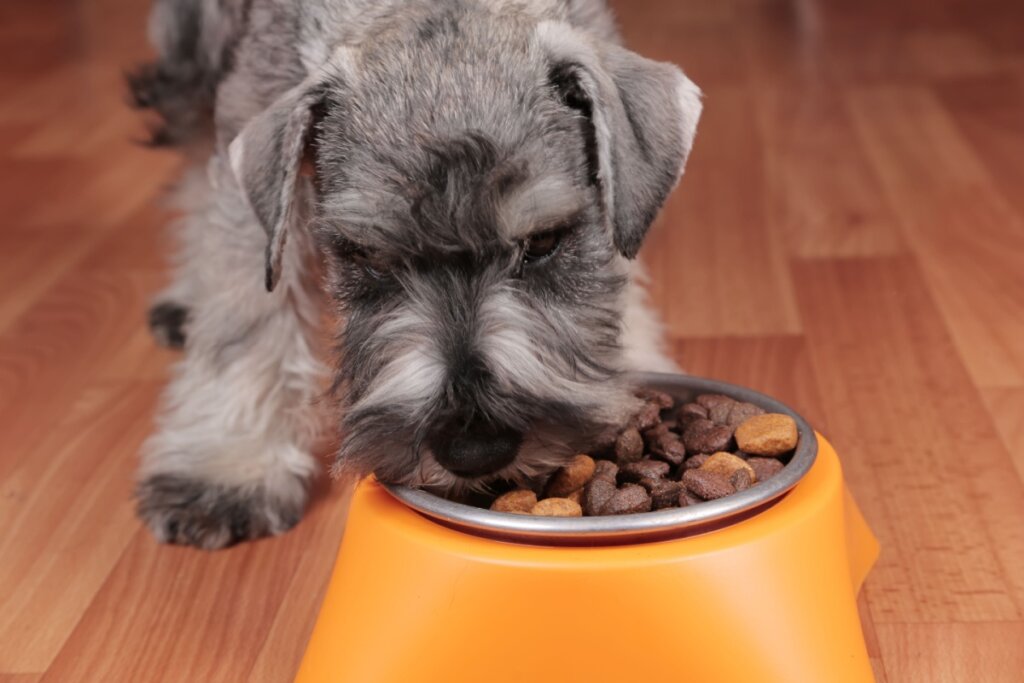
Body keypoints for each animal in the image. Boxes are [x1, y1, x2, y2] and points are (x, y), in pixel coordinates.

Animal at [128, 0, 700, 548]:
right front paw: (226, 471)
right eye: (370, 257)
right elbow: (246, 318)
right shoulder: (253, 185)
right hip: (193, 48)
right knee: (194, 156)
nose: (473, 448)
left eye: (542, 242)